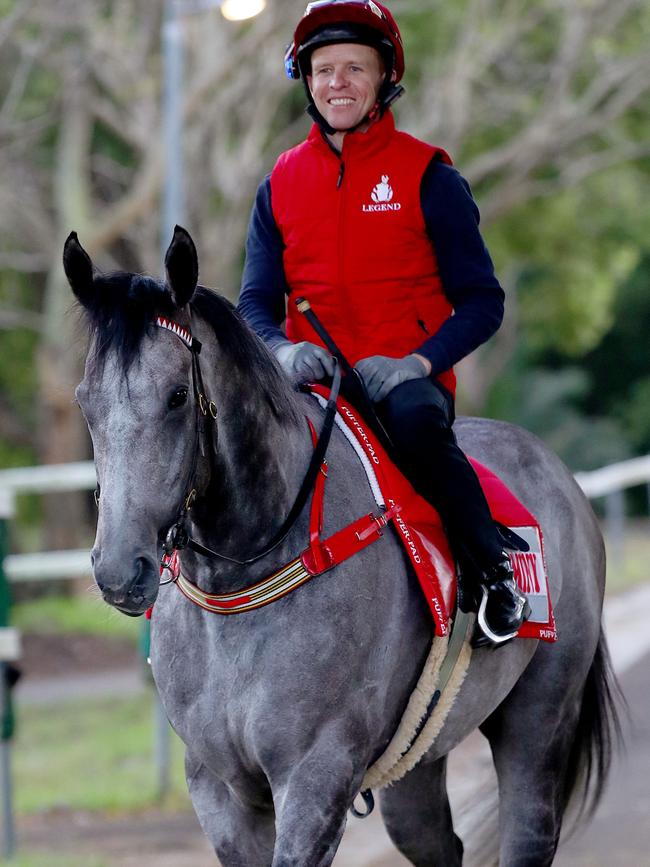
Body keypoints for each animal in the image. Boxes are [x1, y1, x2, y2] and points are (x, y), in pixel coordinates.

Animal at [64, 229, 616, 867]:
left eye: (178, 396)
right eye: (85, 402)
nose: (119, 570)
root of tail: (560, 473)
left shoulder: (315, 776)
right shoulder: (218, 789)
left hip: (539, 718)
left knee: (528, 822)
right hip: (417, 759)